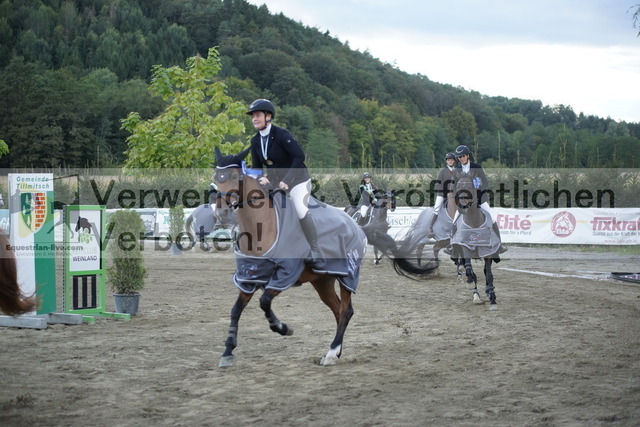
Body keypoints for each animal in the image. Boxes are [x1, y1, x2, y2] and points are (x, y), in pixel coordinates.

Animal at [215, 152, 440, 366]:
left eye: (234, 177)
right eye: (215, 178)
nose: (222, 213)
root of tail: (357, 227)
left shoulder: (285, 275)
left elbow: (264, 302)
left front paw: (282, 328)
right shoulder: (249, 276)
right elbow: (236, 310)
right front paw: (227, 352)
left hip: (347, 276)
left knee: (346, 311)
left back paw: (331, 353)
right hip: (322, 281)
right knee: (338, 310)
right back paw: (336, 351)